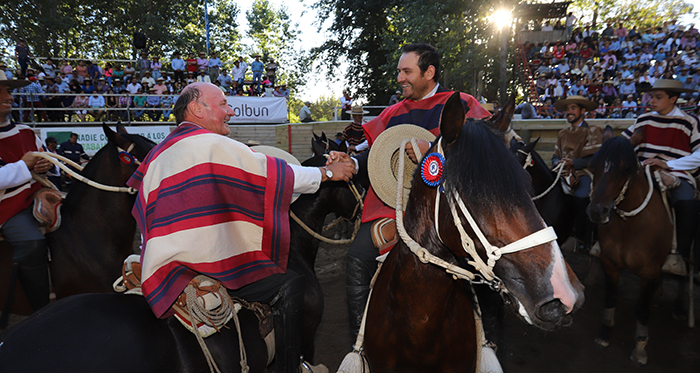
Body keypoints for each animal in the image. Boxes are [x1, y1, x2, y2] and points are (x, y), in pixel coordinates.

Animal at [588, 136, 676, 364]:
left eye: (625, 169)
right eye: (593, 166)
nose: (597, 212)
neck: (629, 226)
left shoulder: (650, 273)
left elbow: (642, 308)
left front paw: (640, 346)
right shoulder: (609, 264)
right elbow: (611, 297)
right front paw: (604, 333)